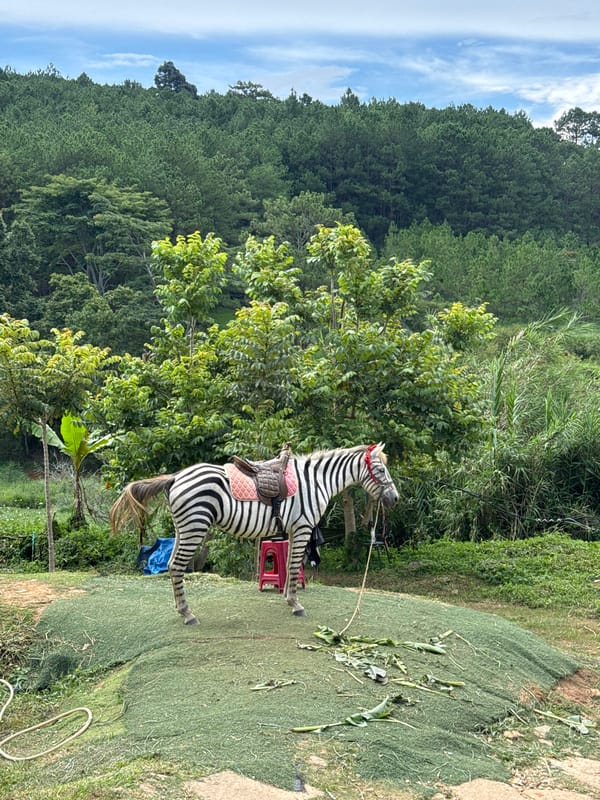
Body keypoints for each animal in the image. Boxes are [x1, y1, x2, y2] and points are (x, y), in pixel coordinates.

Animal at [110, 443, 399, 625]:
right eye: (381, 470)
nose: (395, 499)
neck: (315, 482)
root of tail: (176, 477)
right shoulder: (303, 527)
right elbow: (293, 566)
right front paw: (295, 604)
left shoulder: (292, 530)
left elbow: (291, 566)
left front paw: (288, 599)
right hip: (195, 527)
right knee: (178, 566)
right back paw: (188, 614)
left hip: (184, 528)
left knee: (171, 565)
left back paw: (181, 610)